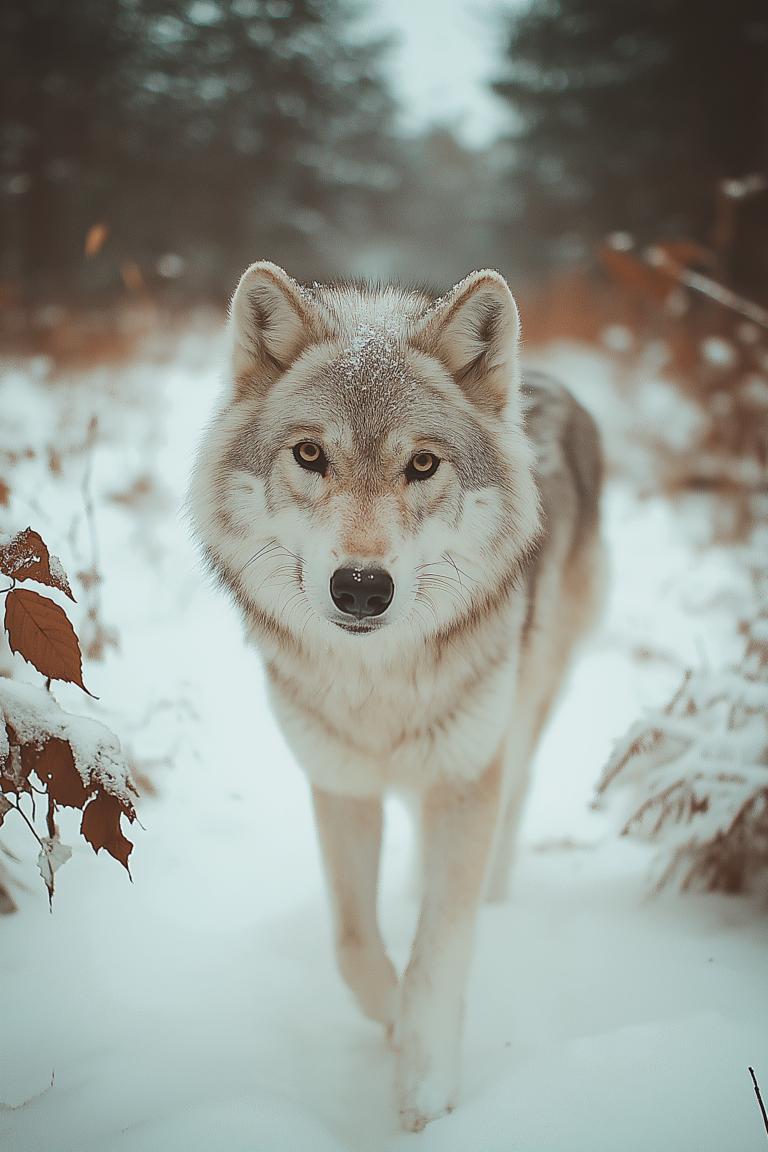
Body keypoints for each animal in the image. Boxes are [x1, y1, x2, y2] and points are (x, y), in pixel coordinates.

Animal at [187, 259, 607, 1124]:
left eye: (422, 465)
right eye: (310, 454)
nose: (360, 588)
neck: (377, 685)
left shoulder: (467, 774)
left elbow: (437, 953)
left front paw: (427, 1086)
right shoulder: (341, 781)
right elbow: (354, 945)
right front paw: (389, 1021)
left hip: (520, 712)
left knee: (515, 797)